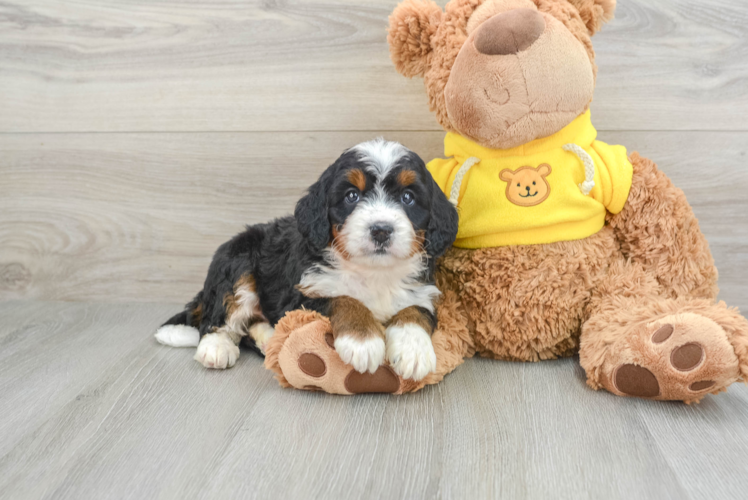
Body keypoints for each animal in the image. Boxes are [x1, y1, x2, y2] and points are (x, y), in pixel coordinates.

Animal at [155, 139, 458, 380]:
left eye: (408, 197)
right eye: (352, 195)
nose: (381, 230)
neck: (372, 272)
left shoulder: (421, 292)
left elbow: (415, 311)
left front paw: (413, 350)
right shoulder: (301, 295)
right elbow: (344, 299)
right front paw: (363, 340)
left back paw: (269, 338)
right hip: (237, 262)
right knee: (218, 317)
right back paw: (217, 348)